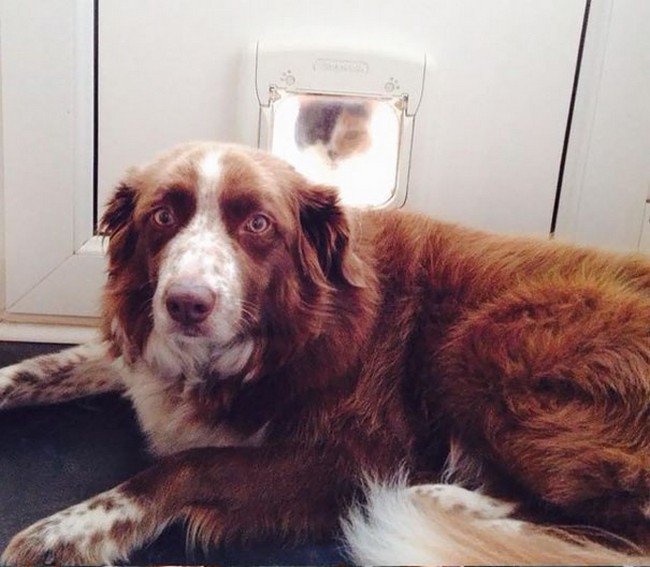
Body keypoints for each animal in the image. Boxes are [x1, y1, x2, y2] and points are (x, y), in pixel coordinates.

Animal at [1, 141, 648, 564]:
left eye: (259, 224)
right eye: (163, 216)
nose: (186, 304)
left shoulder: (357, 454)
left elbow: (186, 464)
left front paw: (65, 532)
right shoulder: (141, 349)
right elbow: (41, 367)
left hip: (484, 339)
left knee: (621, 526)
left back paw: (435, 500)